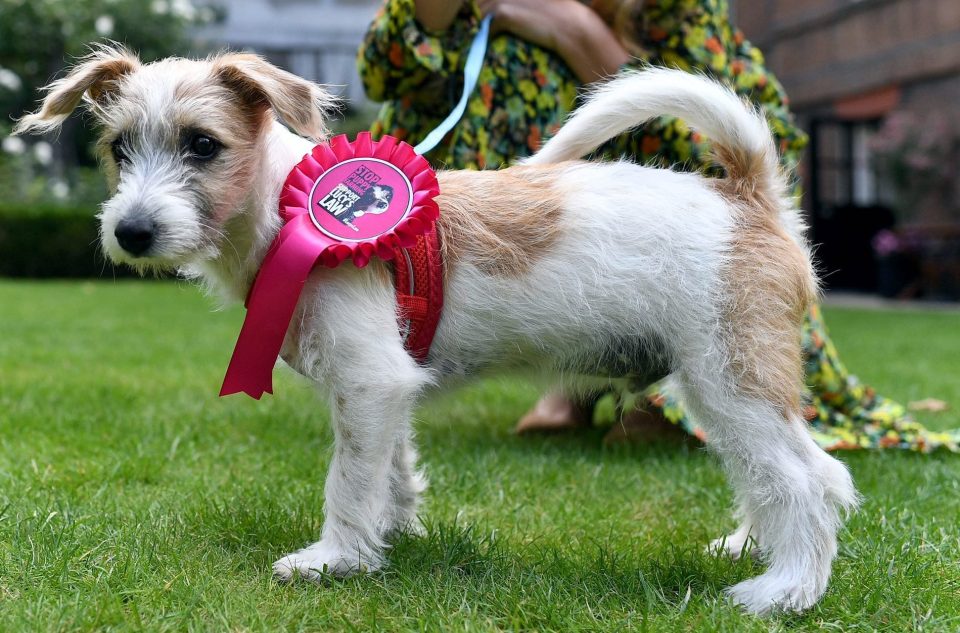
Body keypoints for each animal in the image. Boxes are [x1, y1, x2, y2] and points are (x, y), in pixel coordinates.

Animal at [13, 48, 856, 612]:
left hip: (731, 379)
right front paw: (392, 534)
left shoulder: (368, 381)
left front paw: (335, 559)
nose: (132, 232)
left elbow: (347, 479)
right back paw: (750, 547)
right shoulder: (383, 389)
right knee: (799, 472)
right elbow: (388, 468)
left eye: (202, 144)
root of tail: (748, 193)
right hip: (728, 385)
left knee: (806, 480)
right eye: (119, 148)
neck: (287, 205)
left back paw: (785, 589)